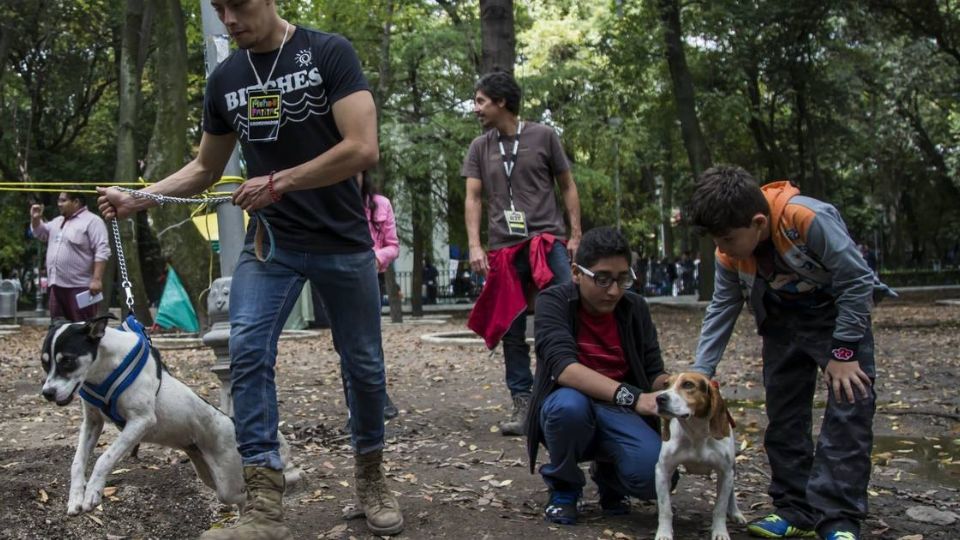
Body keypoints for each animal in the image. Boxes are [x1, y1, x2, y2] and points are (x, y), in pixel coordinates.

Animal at [40, 316, 300, 516]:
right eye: (45, 364)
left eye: (68, 361)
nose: (47, 393)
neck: (103, 369)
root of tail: (232, 422)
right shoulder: (92, 423)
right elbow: (77, 462)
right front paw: (75, 498)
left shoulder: (141, 421)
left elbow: (105, 458)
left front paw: (93, 491)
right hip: (208, 474)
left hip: (228, 483)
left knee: (247, 497)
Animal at [656, 374, 748, 540]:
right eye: (665, 384)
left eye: (688, 384)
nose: (659, 398)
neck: (696, 433)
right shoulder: (662, 471)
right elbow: (665, 509)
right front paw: (664, 533)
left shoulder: (725, 473)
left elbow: (720, 509)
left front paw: (720, 532)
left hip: (732, 467)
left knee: (731, 492)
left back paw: (736, 513)